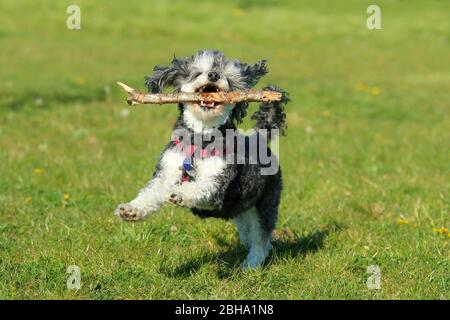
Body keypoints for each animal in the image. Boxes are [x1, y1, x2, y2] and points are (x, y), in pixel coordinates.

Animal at [115, 48, 288, 268]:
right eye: (198, 73)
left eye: (227, 77)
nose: (213, 75)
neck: (199, 138)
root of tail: (259, 138)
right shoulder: (166, 171)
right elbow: (151, 193)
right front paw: (131, 210)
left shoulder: (218, 185)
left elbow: (200, 188)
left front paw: (180, 194)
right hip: (242, 211)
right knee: (250, 233)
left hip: (266, 203)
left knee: (262, 239)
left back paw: (251, 264)